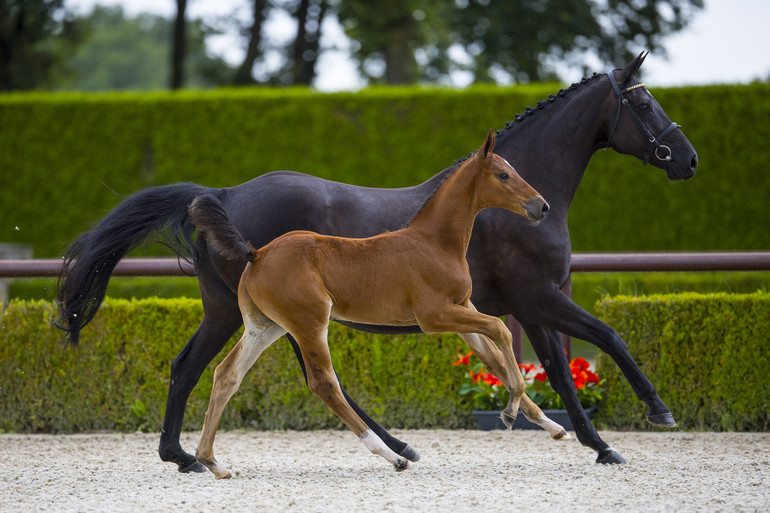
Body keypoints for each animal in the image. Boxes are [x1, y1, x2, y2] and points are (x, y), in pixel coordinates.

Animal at [189, 130, 568, 478]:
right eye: (503, 174)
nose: (541, 206)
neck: (435, 242)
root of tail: (257, 253)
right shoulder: (435, 316)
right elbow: (502, 330)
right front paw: (510, 410)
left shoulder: (463, 310)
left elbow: (494, 360)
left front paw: (551, 425)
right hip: (309, 324)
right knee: (324, 384)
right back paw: (393, 455)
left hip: (266, 328)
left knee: (227, 374)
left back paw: (211, 461)